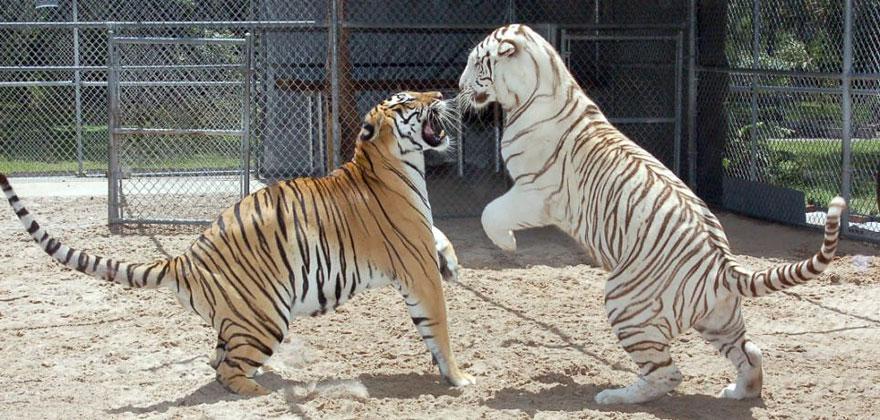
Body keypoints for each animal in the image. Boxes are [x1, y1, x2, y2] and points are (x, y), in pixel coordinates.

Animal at [1, 91, 475, 396]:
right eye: (407, 103)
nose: (440, 92)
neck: (397, 166)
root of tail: (183, 260)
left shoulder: (424, 233)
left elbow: (442, 236)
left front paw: (453, 263)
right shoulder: (417, 269)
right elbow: (440, 327)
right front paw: (457, 378)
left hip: (238, 320)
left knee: (217, 358)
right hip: (268, 318)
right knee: (227, 372)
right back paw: (258, 391)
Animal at [458, 24, 846, 404]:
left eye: (476, 63)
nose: (459, 87)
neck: (543, 82)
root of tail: (724, 267)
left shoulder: (534, 193)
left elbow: (490, 212)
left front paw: (506, 246)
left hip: (626, 302)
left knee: (667, 374)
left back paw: (615, 396)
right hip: (719, 320)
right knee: (750, 353)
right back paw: (738, 392)